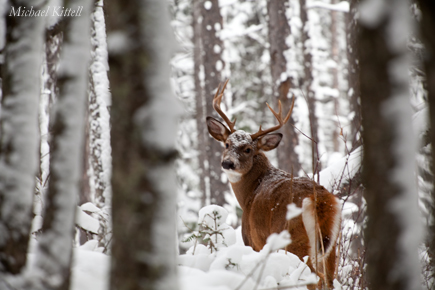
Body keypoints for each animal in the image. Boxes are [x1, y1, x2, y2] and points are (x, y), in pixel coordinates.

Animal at [206, 80, 342, 288]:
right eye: (227, 144)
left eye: (248, 149)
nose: (227, 163)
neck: (250, 191)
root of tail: (320, 201)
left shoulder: (253, 240)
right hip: (331, 246)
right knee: (329, 280)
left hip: (295, 241)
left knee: (314, 278)